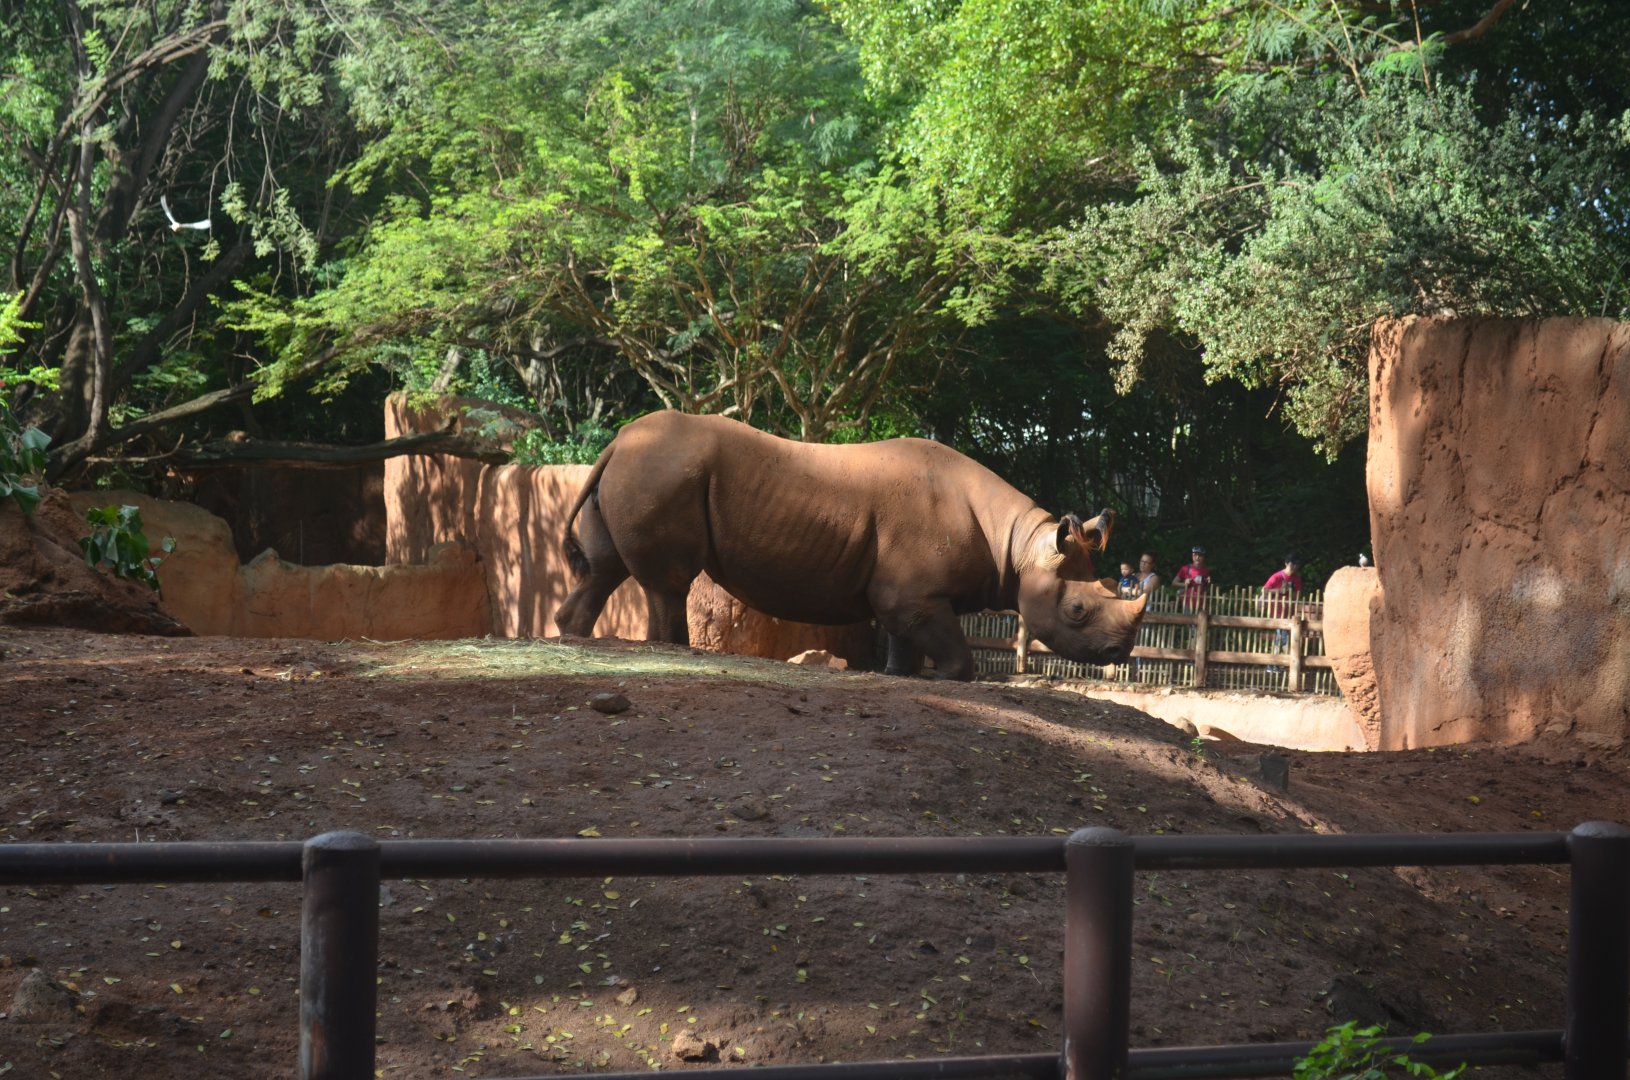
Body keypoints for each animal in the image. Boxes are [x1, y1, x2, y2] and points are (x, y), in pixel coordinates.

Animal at [555, 412, 1147, 680]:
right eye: (1077, 609)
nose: (1119, 655)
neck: (1019, 546)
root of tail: (616, 442)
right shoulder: (912, 595)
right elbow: (955, 657)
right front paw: (947, 677)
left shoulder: (910, 594)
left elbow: (902, 642)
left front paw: (900, 676)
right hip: (661, 471)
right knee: (667, 584)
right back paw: (672, 649)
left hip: (642, 470)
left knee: (602, 572)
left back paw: (575, 636)